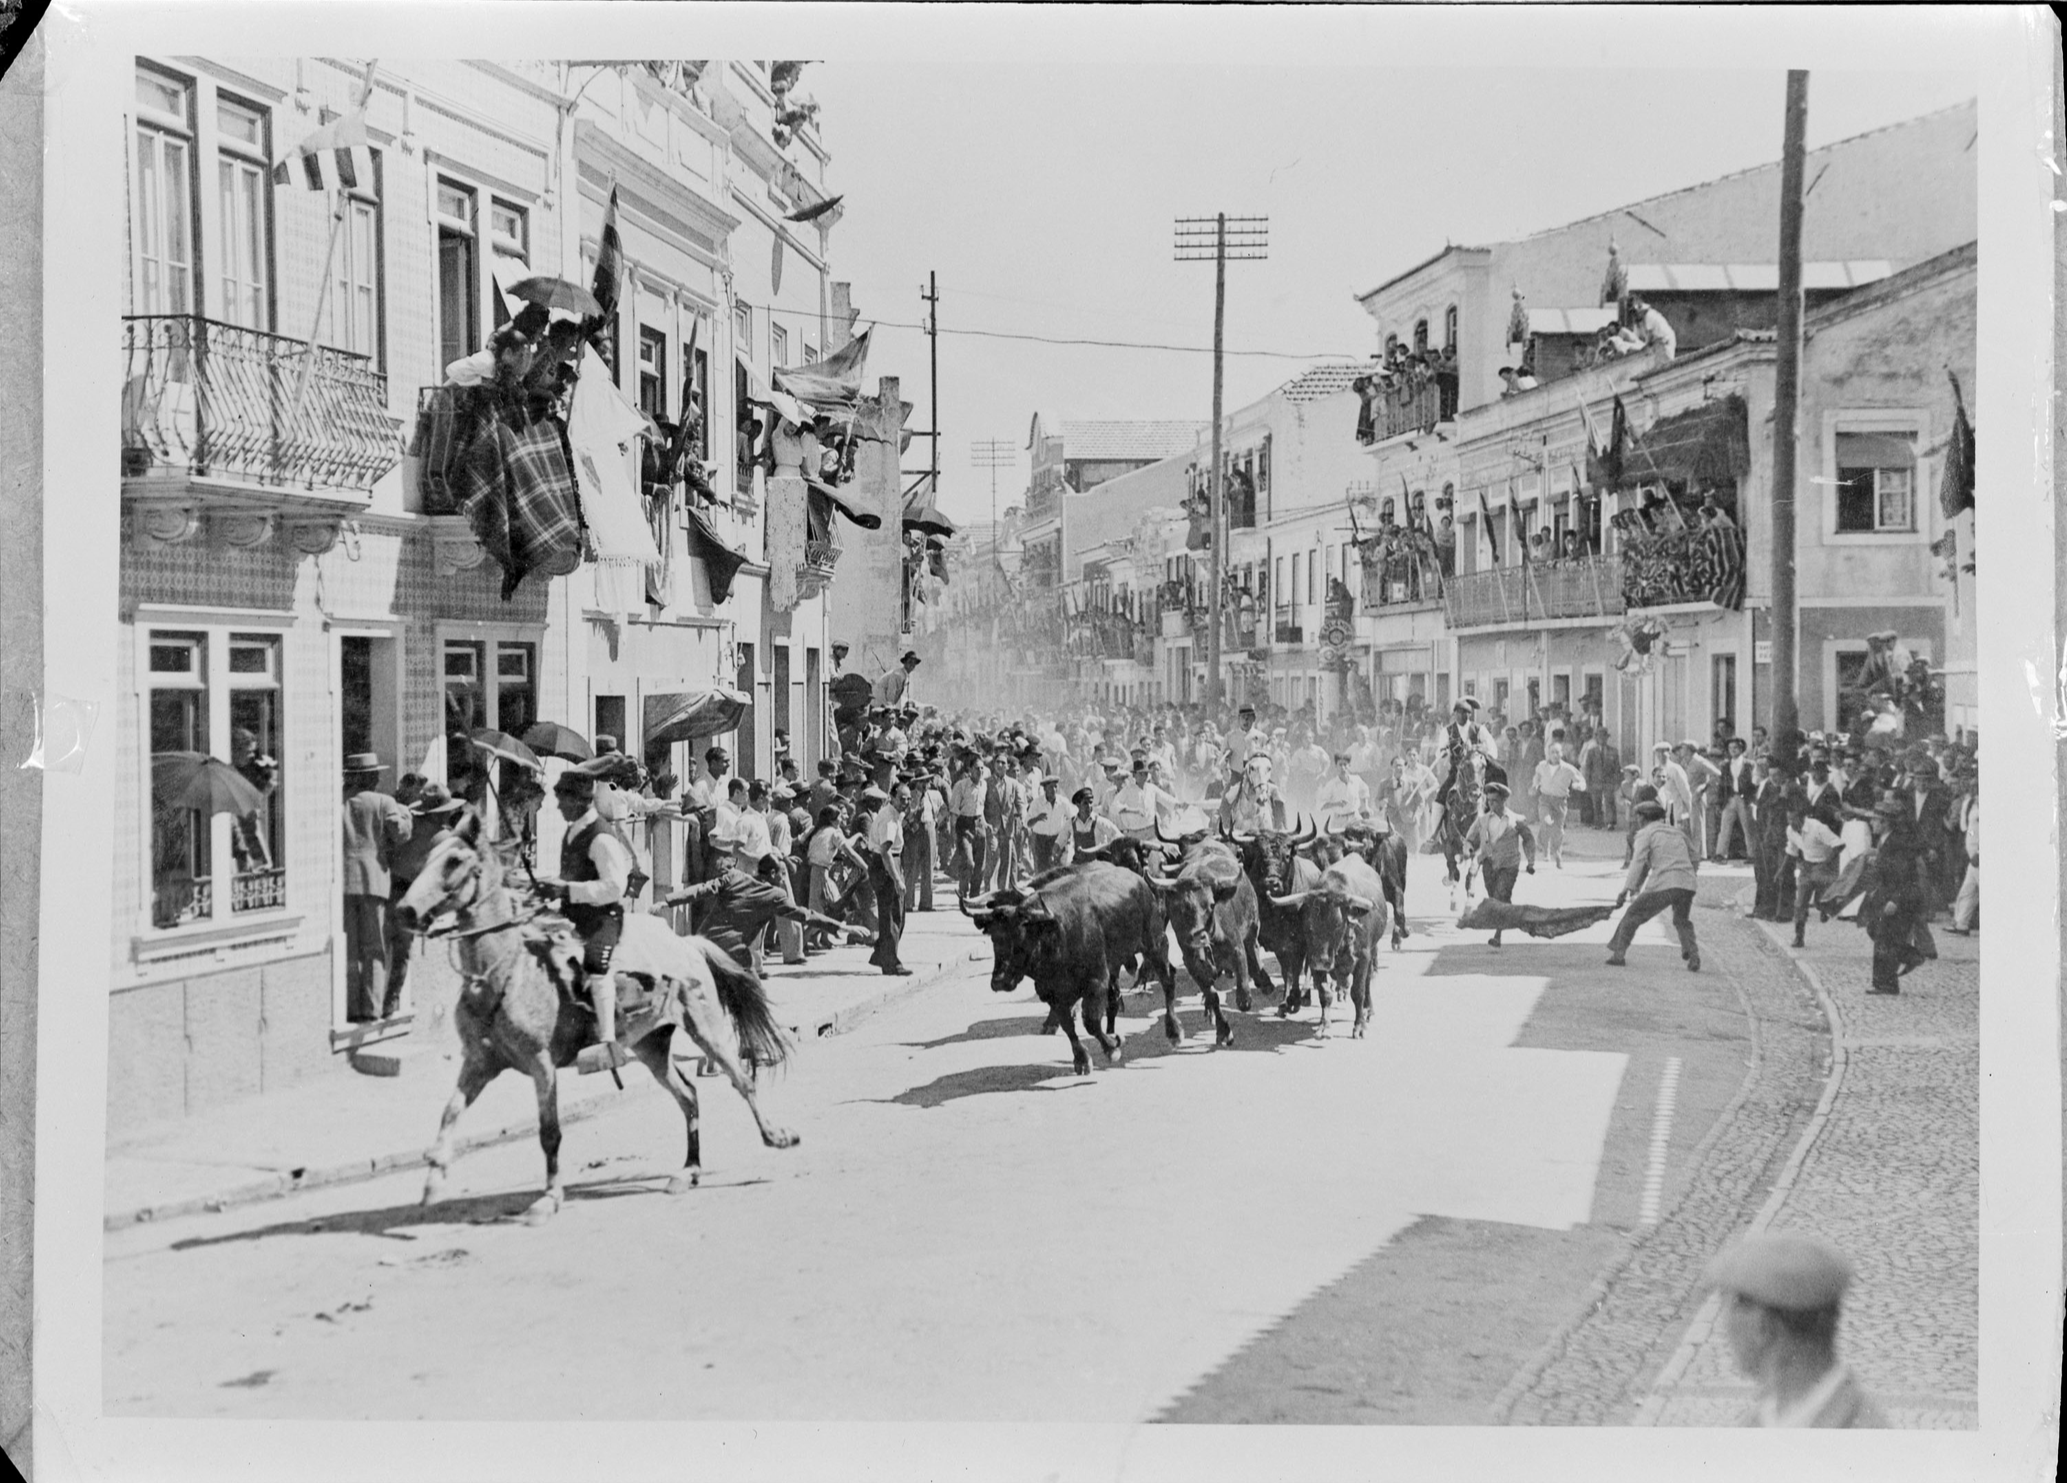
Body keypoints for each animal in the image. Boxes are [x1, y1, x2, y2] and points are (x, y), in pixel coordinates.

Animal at [954, 856, 1174, 1075]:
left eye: (1021, 936)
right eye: (994, 937)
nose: (999, 981)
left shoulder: (1096, 980)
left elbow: (1090, 1021)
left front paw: (1112, 1047)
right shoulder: (1050, 991)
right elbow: (1068, 1024)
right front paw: (1081, 1058)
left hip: (1153, 943)